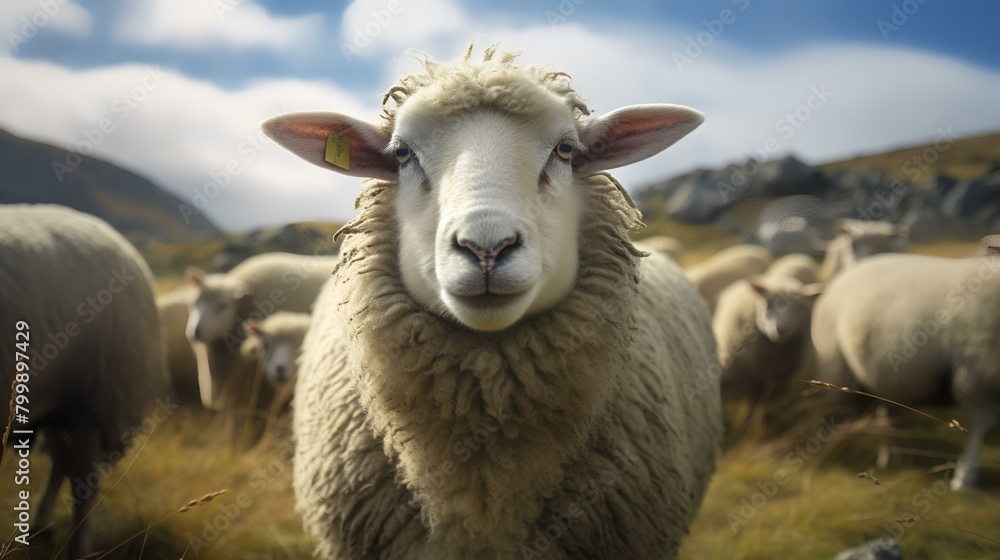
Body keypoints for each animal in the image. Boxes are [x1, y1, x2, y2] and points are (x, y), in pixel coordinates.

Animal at [0, 204, 166, 558]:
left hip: (94, 401)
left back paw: (75, 546)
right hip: (60, 403)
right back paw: (40, 525)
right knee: (62, 464)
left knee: (82, 483)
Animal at [811, 250, 1000, 490]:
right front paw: (964, 478)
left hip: (882, 379)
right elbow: (980, 425)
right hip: (835, 364)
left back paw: (892, 457)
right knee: (836, 412)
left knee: (887, 414)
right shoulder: (978, 377)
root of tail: (840, 278)